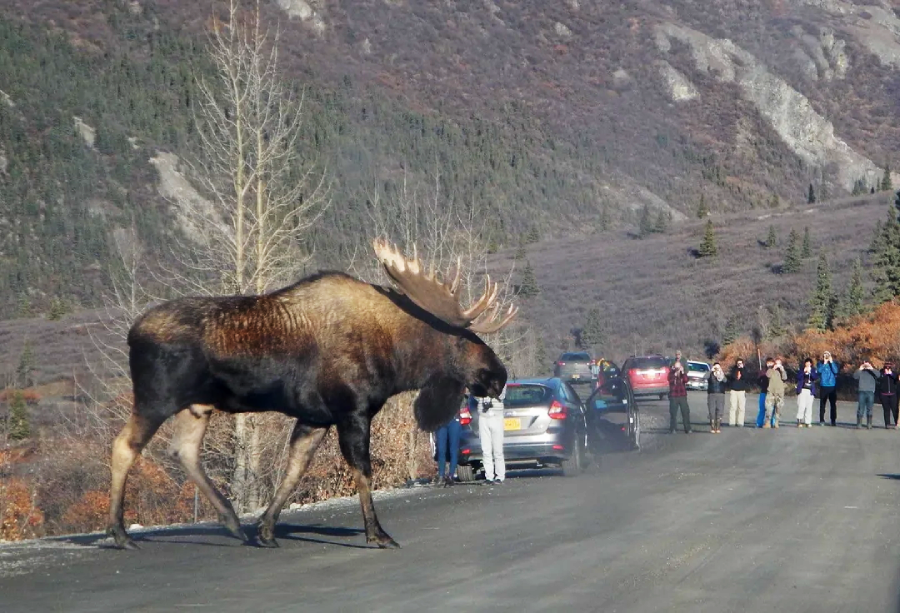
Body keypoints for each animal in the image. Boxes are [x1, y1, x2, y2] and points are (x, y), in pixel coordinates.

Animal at [107, 238, 517, 550]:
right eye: (463, 339)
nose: (499, 376)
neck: (396, 359)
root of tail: (131, 332)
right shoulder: (352, 411)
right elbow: (362, 472)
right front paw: (377, 534)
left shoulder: (315, 417)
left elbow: (294, 470)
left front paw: (266, 530)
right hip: (157, 397)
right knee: (124, 446)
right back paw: (121, 534)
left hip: (196, 405)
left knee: (184, 451)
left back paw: (232, 521)